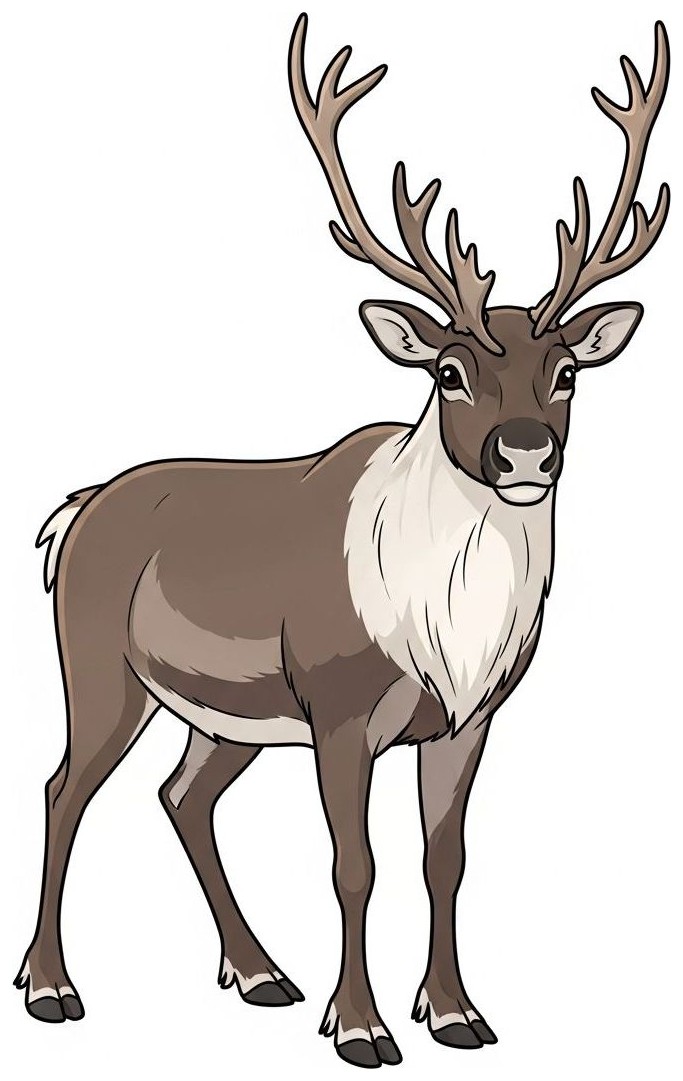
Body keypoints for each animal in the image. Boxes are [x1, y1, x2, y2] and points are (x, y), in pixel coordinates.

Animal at [15, 13, 670, 1070]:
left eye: (566, 369)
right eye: (448, 370)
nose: (525, 451)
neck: (444, 626)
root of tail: (75, 511)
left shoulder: (469, 717)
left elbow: (444, 856)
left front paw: (455, 1012)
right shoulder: (339, 708)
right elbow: (352, 864)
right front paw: (360, 1025)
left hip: (223, 713)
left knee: (181, 795)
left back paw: (259, 973)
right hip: (99, 665)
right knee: (62, 787)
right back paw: (50, 986)